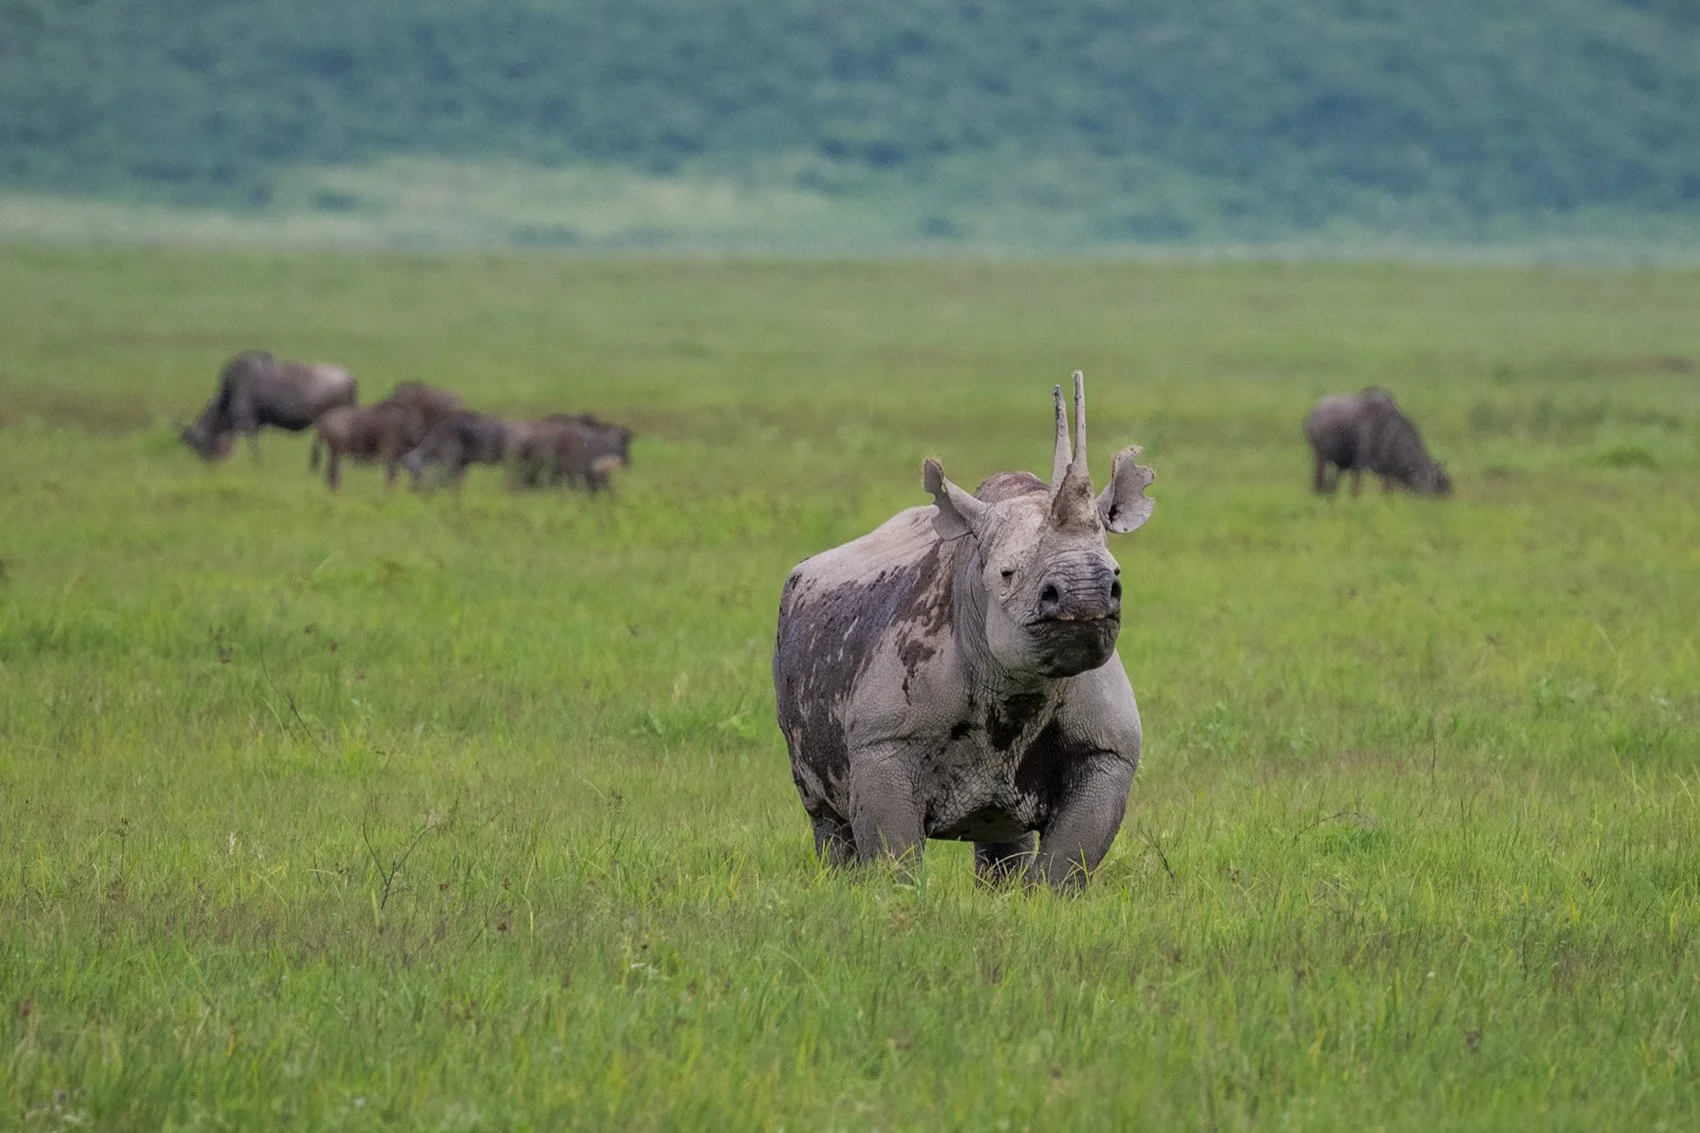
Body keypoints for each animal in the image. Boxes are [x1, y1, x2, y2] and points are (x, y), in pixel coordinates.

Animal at [181, 350, 357, 460]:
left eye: (197, 444)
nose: (208, 463)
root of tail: (348, 378)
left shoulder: (247, 424)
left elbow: (253, 448)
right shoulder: (256, 426)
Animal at [773, 372, 1156, 888]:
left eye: (1116, 574)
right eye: (1007, 574)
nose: (1085, 595)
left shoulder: (1107, 750)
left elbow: (1067, 861)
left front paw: (1044, 901)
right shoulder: (885, 740)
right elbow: (893, 851)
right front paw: (895, 898)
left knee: (1004, 834)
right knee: (827, 819)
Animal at [1304, 387, 1451, 496]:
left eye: (1436, 484)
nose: (1426, 496)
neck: (1386, 430)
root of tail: (1314, 412)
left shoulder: (1388, 470)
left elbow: (1387, 491)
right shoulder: (1359, 464)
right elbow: (1355, 490)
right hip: (1320, 458)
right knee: (1318, 481)